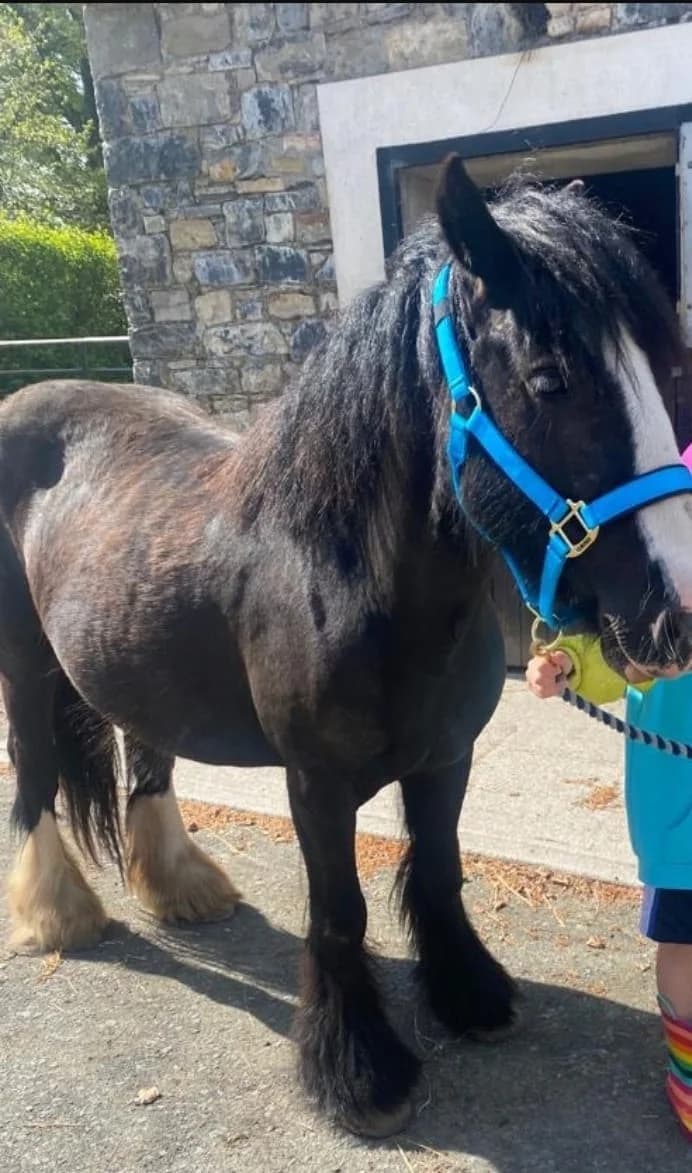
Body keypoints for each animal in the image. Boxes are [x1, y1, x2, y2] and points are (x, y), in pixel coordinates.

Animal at [2, 155, 692, 1138]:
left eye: (661, 371)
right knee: (31, 777)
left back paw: (180, 886)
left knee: (147, 762)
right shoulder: (316, 784)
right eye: (551, 377)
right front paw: (360, 1074)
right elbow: (340, 915)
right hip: (24, 664)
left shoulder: (446, 759)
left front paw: (469, 996)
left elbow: (438, 874)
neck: (346, 575)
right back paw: (57, 914)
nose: (674, 615)